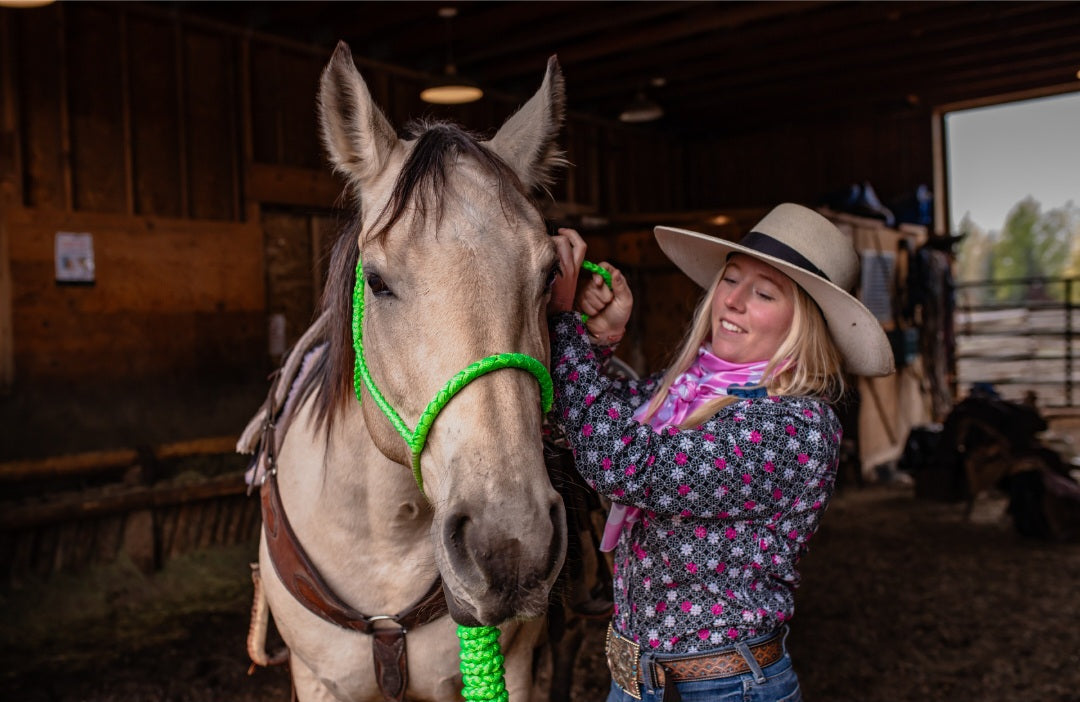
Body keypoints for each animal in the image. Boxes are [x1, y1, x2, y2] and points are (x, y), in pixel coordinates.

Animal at [243, 42, 583, 699]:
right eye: (376, 281)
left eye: (550, 274)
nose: (511, 543)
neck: (386, 537)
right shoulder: (317, 679)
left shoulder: (513, 667)